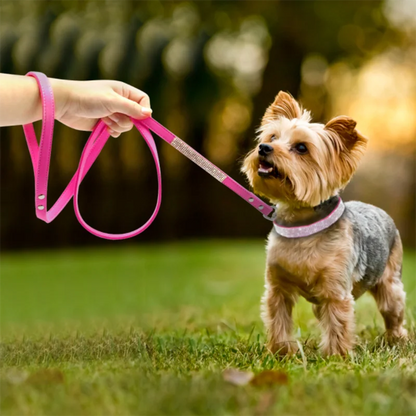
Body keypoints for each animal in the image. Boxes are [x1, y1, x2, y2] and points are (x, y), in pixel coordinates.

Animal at [240, 92, 406, 356]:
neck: (301, 226)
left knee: (393, 309)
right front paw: (280, 352)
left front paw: (336, 356)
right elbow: (279, 318)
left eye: (301, 148)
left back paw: (396, 339)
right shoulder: (277, 287)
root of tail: (377, 208)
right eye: (272, 137)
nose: (263, 147)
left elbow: (338, 323)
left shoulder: (336, 289)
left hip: (390, 282)